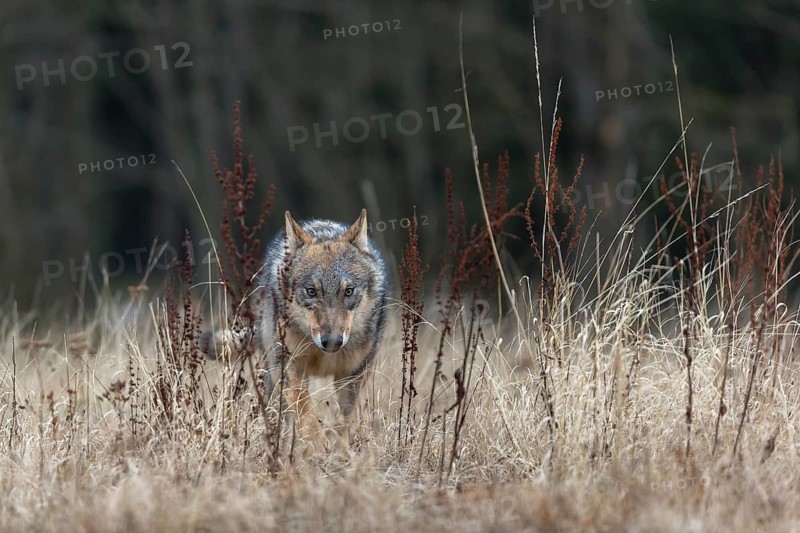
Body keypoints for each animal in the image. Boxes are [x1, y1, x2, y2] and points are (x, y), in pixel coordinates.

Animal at [204, 209, 388, 443]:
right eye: (311, 291)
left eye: (348, 291)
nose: (332, 342)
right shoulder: (288, 367)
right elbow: (305, 413)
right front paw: (316, 446)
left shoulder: (352, 376)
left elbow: (344, 423)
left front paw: (341, 448)